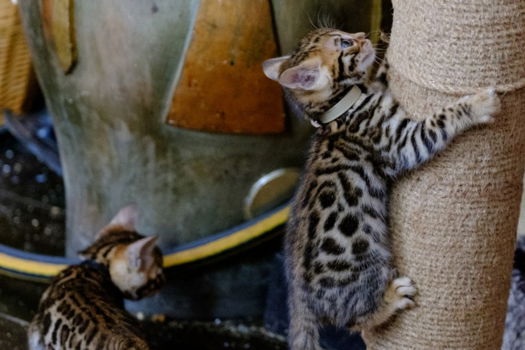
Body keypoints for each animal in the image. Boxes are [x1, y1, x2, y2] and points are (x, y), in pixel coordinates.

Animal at [262, 28, 500, 350]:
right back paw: (391, 299)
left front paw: (386, 53)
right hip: (366, 265)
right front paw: (477, 105)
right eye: (344, 43)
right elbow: (441, 119)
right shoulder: (401, 142)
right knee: (354, 319)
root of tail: (300, 298)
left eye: (345, 33)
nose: (362, 34)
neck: (340, 107)